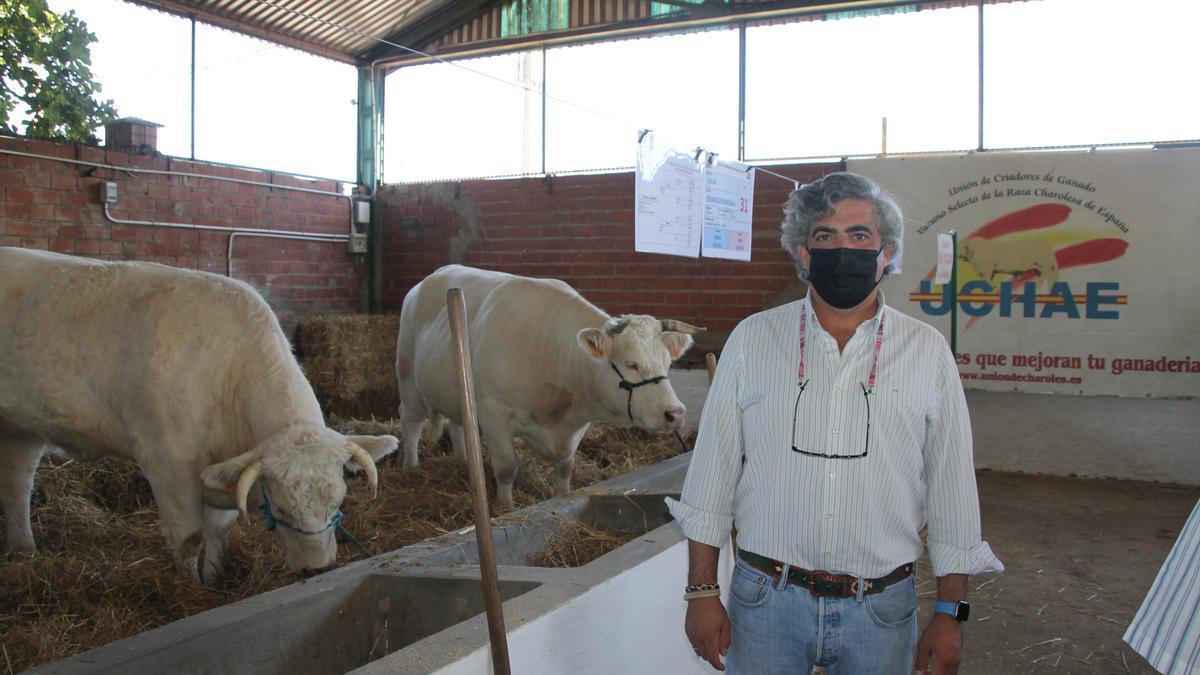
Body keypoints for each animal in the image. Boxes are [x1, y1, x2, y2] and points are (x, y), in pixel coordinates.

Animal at [0, 243, 403, 581]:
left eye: (339, 502)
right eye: (280, 509)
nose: (316, 569)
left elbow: (218, 529)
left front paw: (213, 578)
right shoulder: (166, 460)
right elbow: (188, 536)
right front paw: (189, 589)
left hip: (20, 428)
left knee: (17, 484)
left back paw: (24, 552)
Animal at [396, 265, 696, 506]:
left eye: (668, 363)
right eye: (631, 364)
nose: (675, 413)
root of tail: (428, 279)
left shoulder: (573, 428)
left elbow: (564, 468)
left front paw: (559, 496)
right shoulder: (495, 414)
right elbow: (506, 467)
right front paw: (506, 507)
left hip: (456, 392)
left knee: (458, 426)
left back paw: (463, 461)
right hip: (408, 377)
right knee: (410, 423)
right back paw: (410, 467)